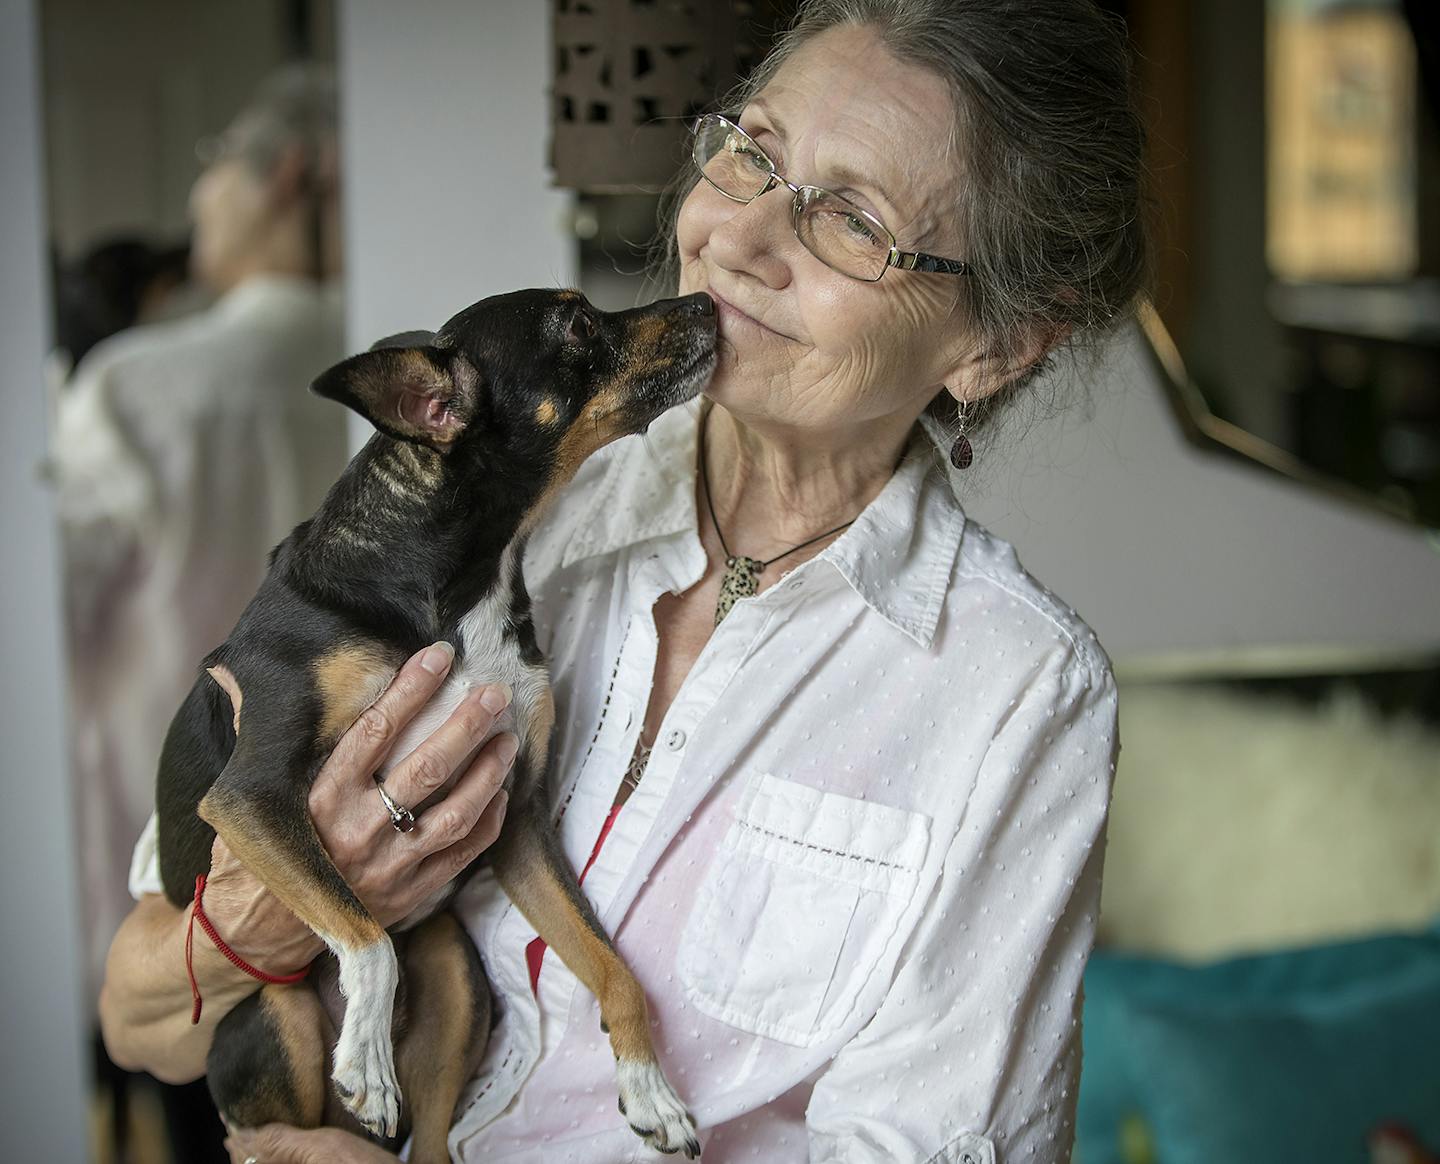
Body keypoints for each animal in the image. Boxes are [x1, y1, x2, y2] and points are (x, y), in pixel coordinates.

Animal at [156, 286, 714, 1158]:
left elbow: (612, 968)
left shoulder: (519, 828)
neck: (466, 580)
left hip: (457, 974)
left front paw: (650, 1089)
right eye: (579, 325)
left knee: (431, 1132)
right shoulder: (250, 794)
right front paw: (367, 1063)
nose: (705, 302)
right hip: (279, 1014)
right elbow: (369, 939)